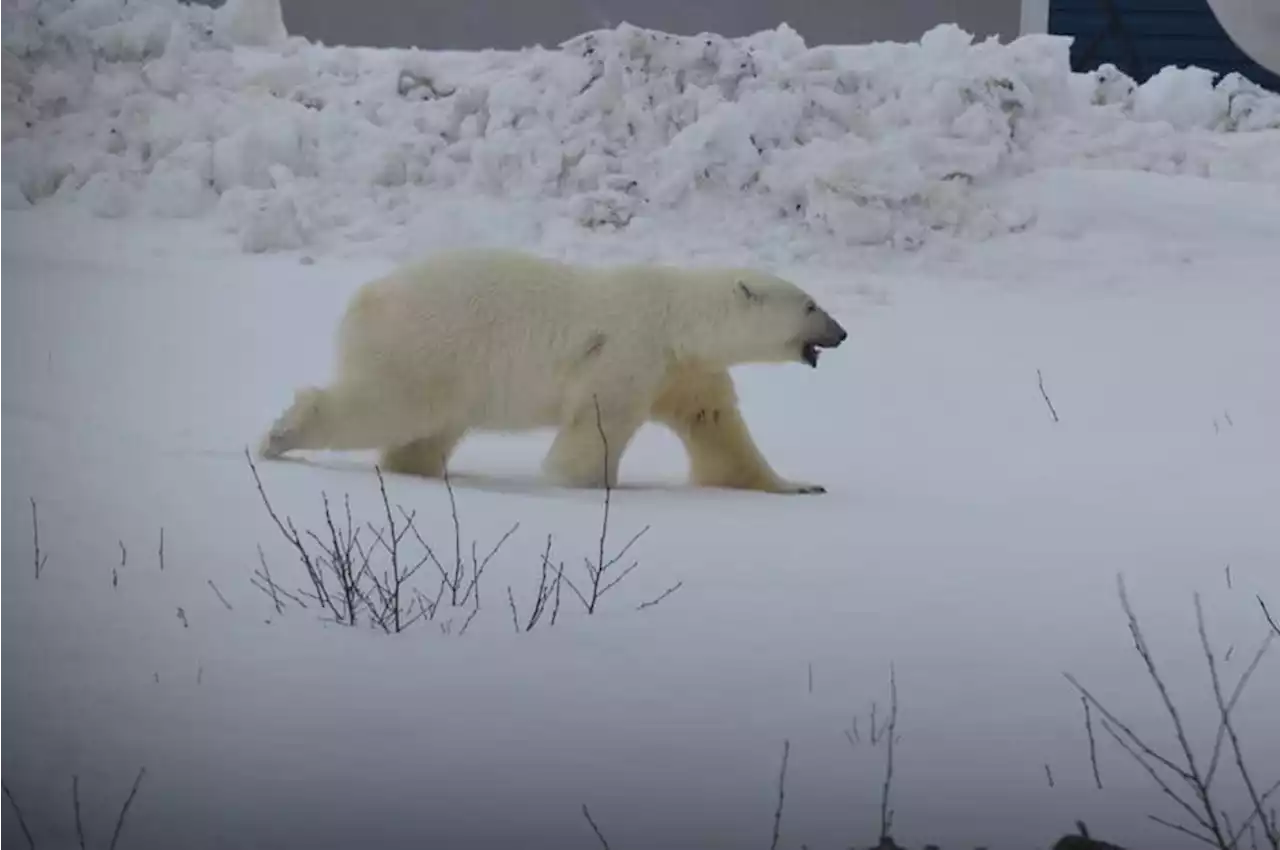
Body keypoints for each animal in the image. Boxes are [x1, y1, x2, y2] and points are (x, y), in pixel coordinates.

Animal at [254, 245, 844, 494]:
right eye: (811, 305)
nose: (841, 333)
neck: (678, 319)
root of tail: (368, 295)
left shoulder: (685, 371)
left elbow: (718, 428)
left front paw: (799, 486)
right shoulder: (630, 351)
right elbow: (599, 420)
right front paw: (582, 482)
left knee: (426, 429)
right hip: (427, 348)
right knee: (386, 406)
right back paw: (280, 436)